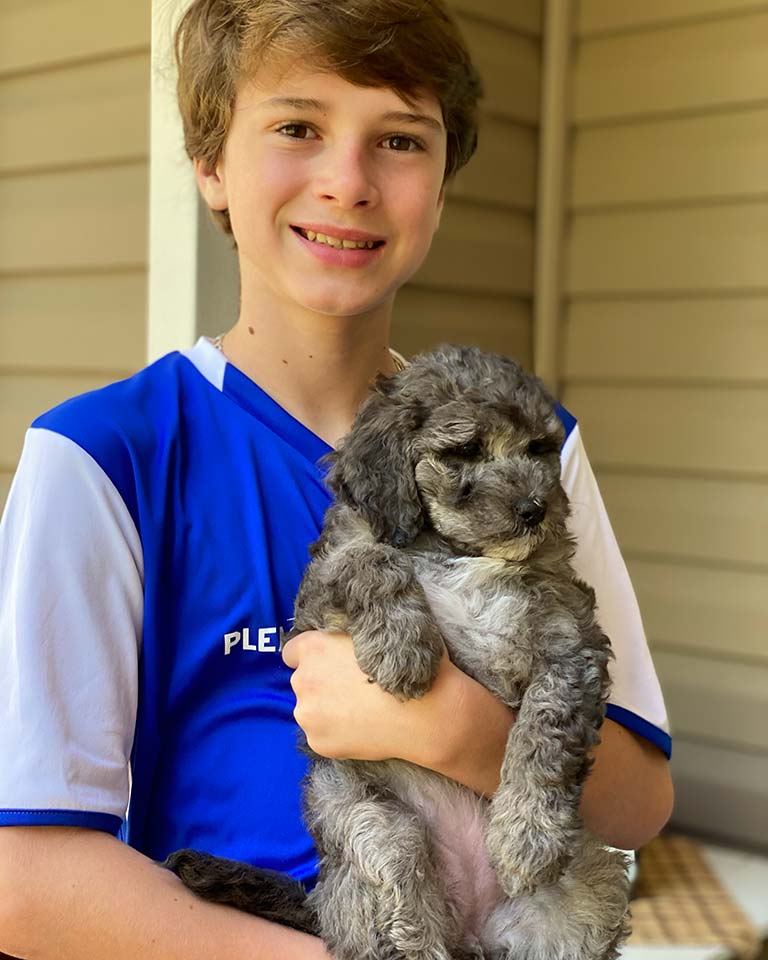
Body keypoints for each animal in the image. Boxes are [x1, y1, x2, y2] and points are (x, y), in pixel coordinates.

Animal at [168, 344, 632, 960]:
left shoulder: (569, 636)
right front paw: (403, 646)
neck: (462, 553)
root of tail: (470, 932)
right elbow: (370, 560)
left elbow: (547, 729)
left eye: (539, 449)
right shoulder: (322, 588)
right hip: (371, 827)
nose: (535, 509)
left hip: (592, 887)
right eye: (464, 451)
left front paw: (527, 836)